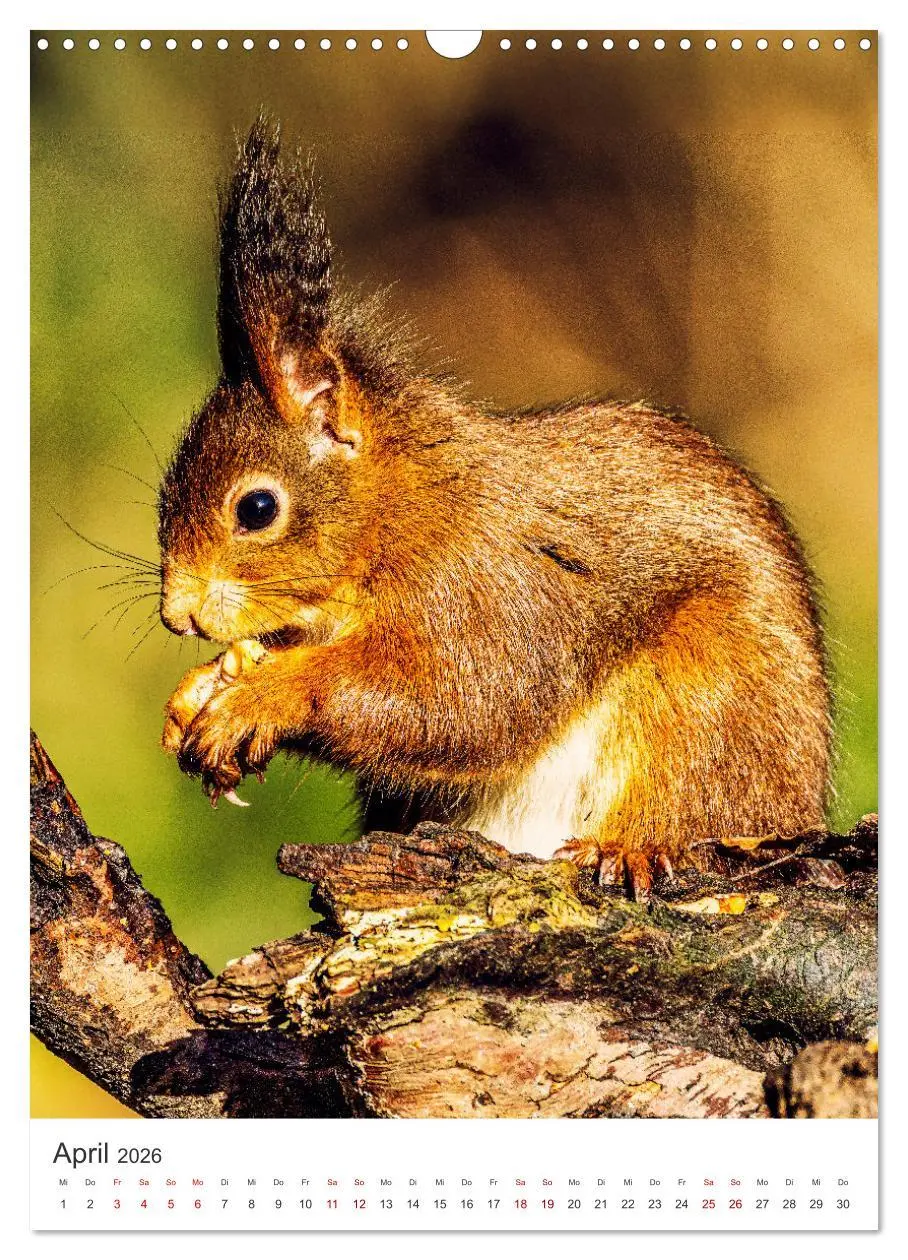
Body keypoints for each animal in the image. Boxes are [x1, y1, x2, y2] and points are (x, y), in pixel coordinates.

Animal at [157, 118, 832, 899]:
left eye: (258, 508)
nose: (177, 616)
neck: (403, 511)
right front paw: (201, 689)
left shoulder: (486, 590)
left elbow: (457, 702)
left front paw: (260, 698)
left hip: (714, 705)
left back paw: (632, 846)